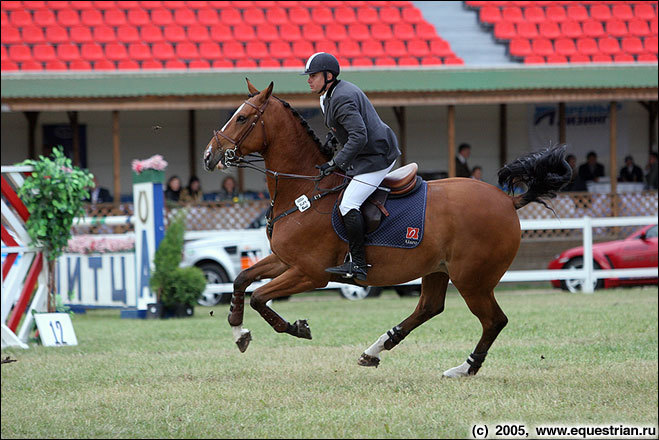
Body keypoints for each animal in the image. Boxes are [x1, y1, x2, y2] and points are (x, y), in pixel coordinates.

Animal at [202, 80, 572, 378]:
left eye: (242, 118)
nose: (209, 156)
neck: (305, 188)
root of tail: (508, 201)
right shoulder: (285, 261)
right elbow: (241, 280)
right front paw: (239, 332)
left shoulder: (310, 272)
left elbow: (259, 297)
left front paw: (296, 328)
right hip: (438, 269)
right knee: (429, 308)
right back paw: (376, 349)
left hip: (473, 279)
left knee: (493, 320)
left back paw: (464, 368)